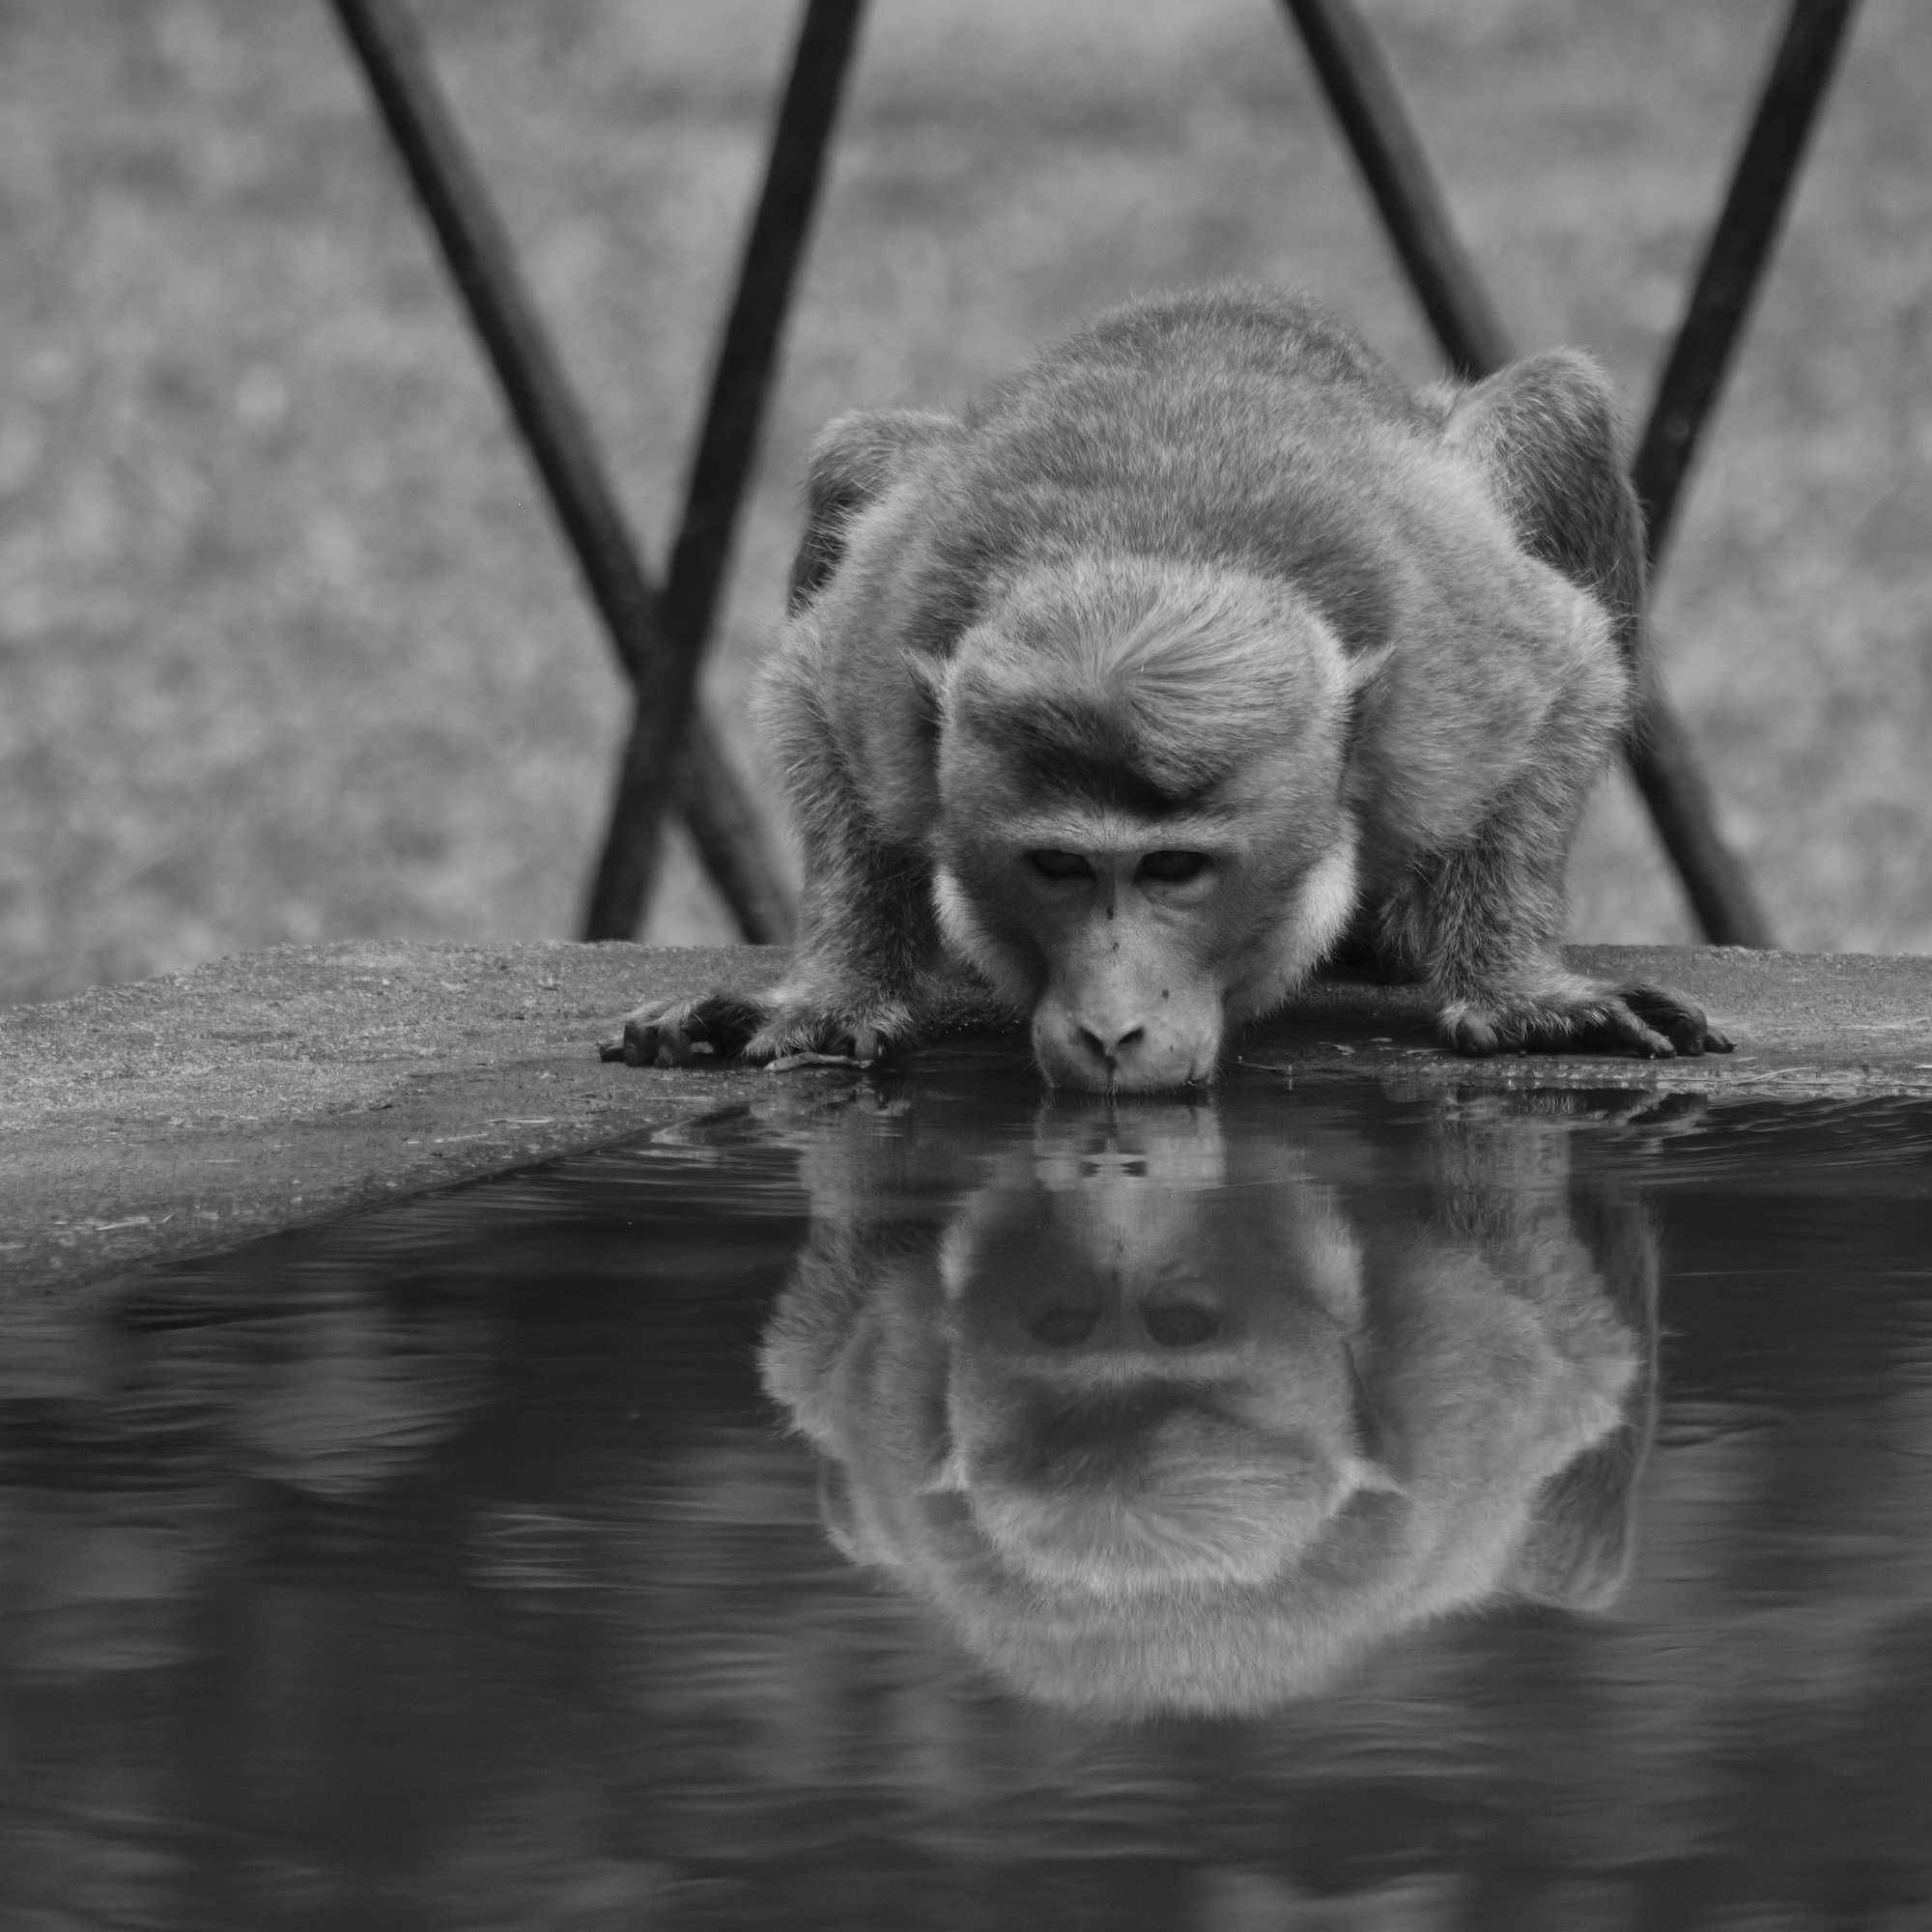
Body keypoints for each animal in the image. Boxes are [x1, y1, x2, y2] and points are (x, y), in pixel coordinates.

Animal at [606, 286, 1731, 1092]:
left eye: (1175, 869)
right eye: (1058, 865)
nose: (1111, 1027)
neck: (1146, 550)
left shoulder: (1446, 694)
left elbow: (1571, 673)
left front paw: (1515, 988)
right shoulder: (883, 666)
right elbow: (809, 705)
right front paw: (836, 991)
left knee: (1563, 409)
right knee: (855, 461)